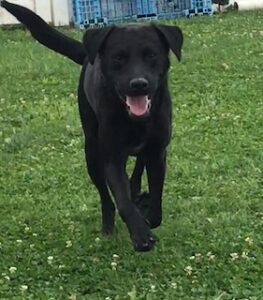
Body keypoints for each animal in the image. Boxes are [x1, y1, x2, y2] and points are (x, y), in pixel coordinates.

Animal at [1, 1, 184, 252]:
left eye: (151, 55)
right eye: (118, 58)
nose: (138, 84)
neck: (135, 119)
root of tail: (88, 53)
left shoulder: (157, 152)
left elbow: (156, 198)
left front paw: (148, 213)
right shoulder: (111, 158)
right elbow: (123, 201)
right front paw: (140, 234)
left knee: (137, 170)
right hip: (92, 152)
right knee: (107, 198)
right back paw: (109, 225)